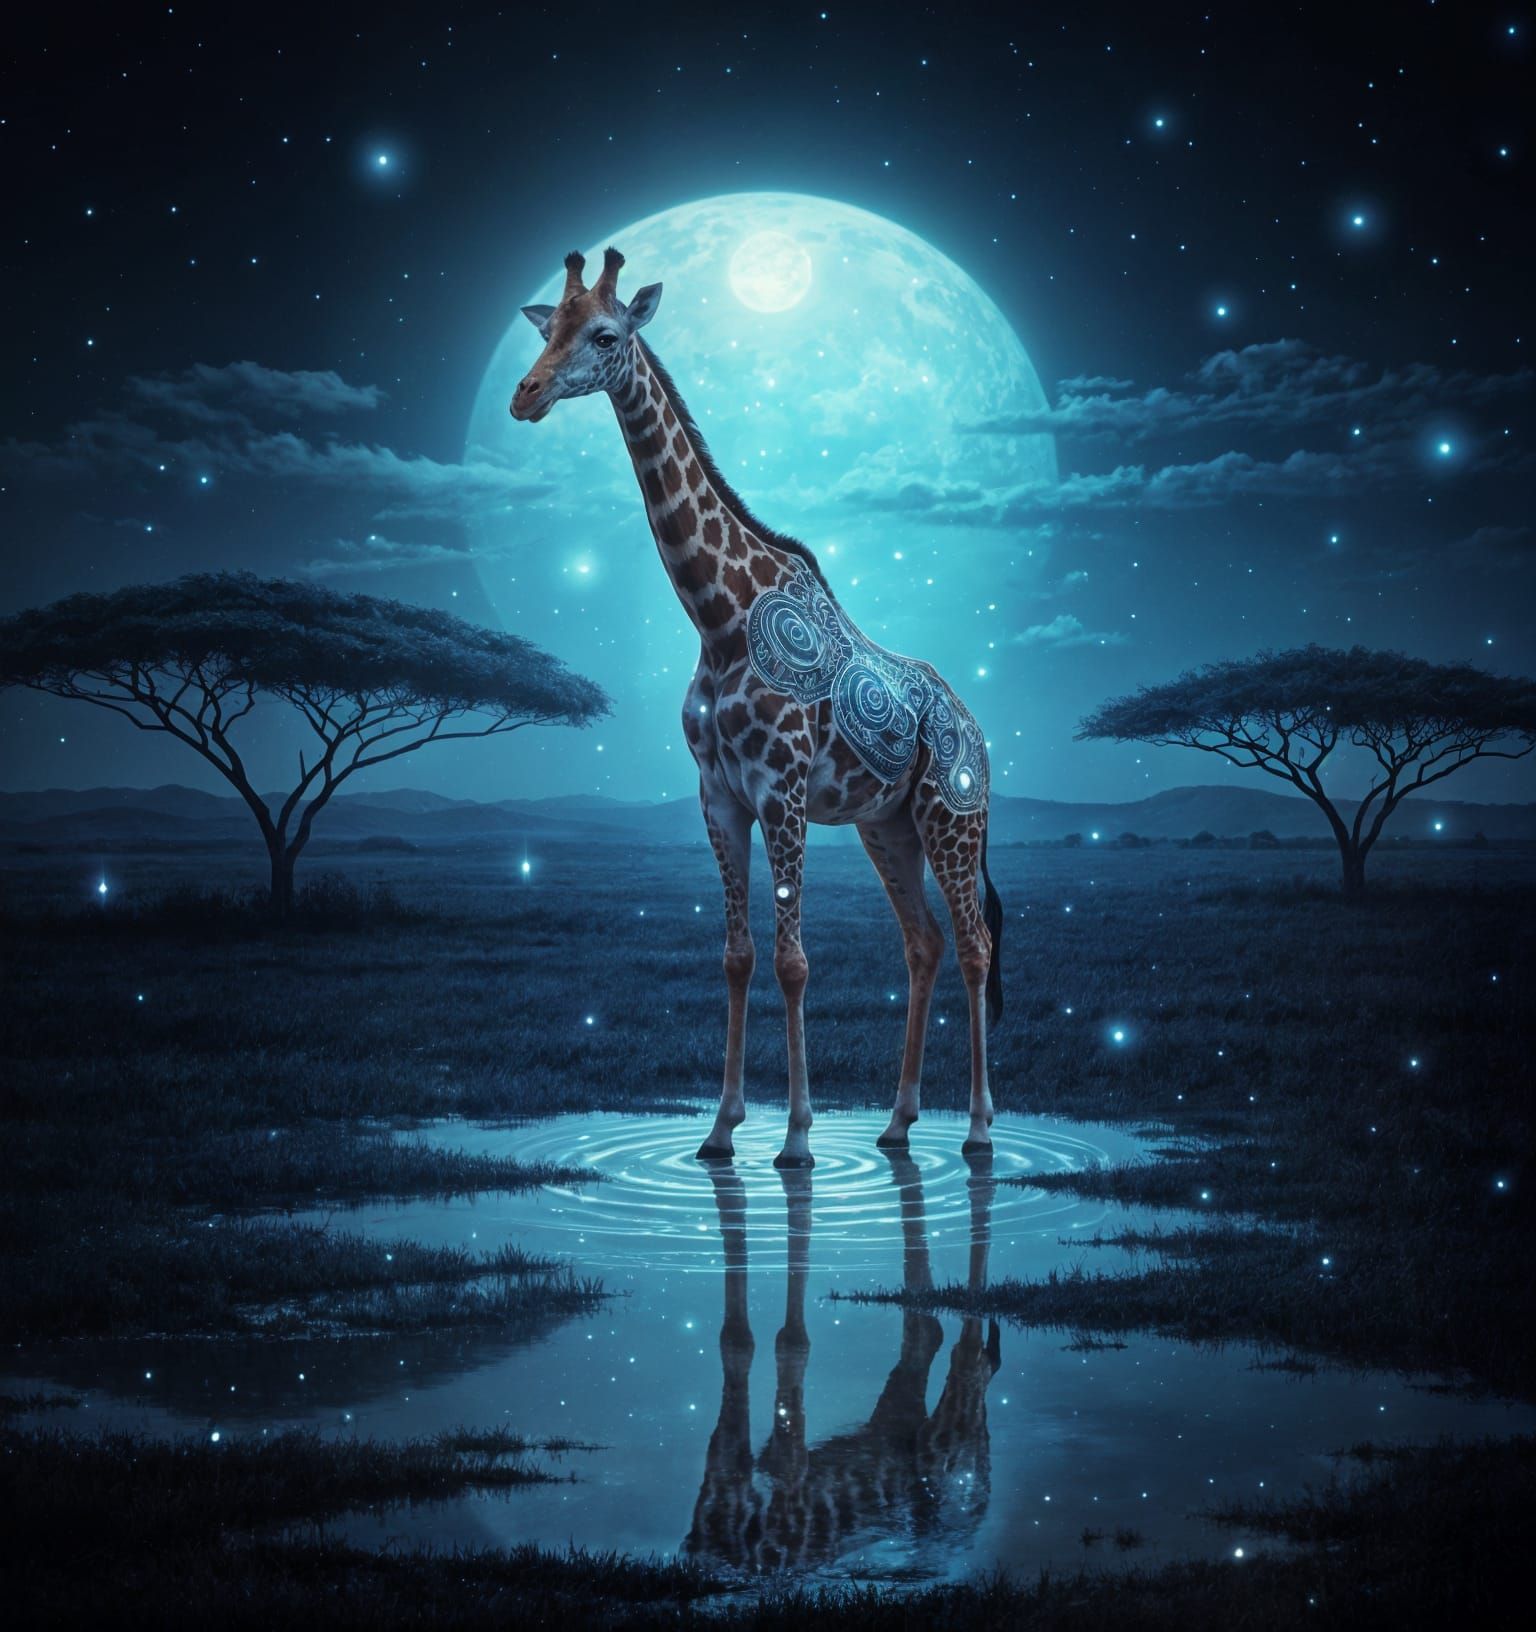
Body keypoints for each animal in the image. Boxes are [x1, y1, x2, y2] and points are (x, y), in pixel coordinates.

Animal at [512, 246, 1005, 1167]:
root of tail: (975, 725)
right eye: (546, 327)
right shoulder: (720, 796)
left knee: (974, 946)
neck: (718, 614)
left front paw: (799, 1140)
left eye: (604, 335)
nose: (524, 396)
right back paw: (897, 1122)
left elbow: (793, 961)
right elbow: (738, 957)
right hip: (888, 826)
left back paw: (981, 1128)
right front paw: (720, 1129)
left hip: (955, 816)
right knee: (921, 944)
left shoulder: (782, 793)